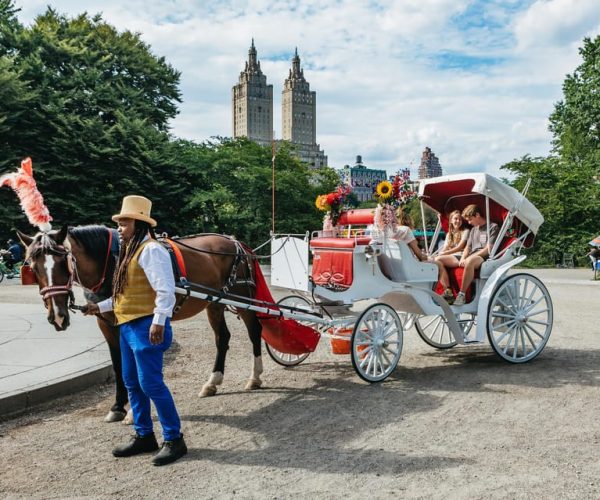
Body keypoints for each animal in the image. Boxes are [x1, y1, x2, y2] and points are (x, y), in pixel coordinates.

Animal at [18, 225, 264, 424]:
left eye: (63, 263)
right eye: (33, 267)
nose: (58, 316)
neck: (112, 262)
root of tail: (234, 241)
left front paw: (132, 412)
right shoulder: (106, 325)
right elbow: (119, 365)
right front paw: (118, 406)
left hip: (243, 298)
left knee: (255, 331)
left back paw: (255, 377)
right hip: (214, 303)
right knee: (222, 338)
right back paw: (213, 381)